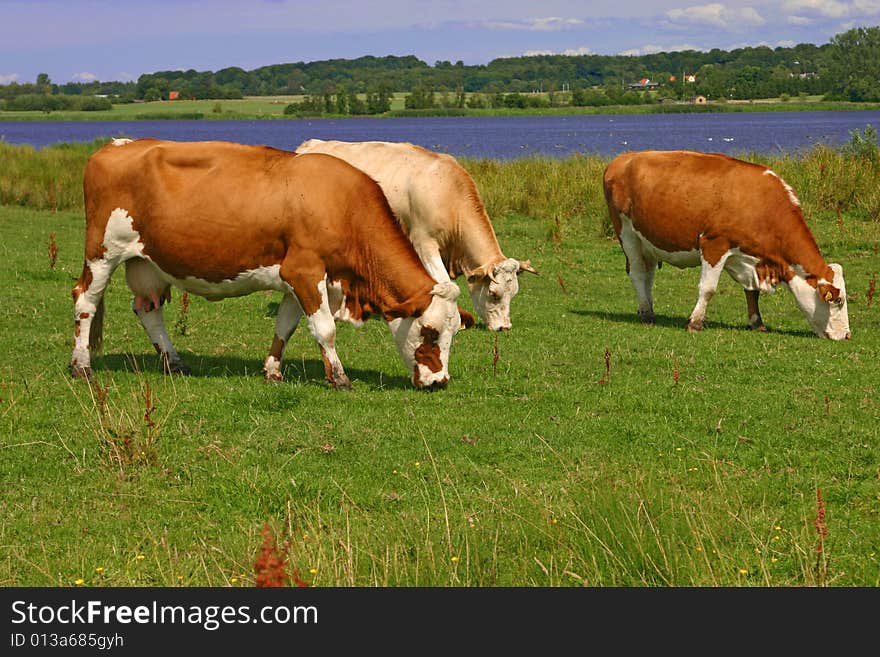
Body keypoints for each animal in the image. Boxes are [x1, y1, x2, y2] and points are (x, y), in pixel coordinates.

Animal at [72, 136, 464, 386]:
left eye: (455, 332)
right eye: (430, 332)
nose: (440, 381)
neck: (342, 204)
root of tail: (115, 145)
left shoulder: (294, 279)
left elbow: (285, 327)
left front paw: (273, 371)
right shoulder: (305, 271)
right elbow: (325, 328)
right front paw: (339, 378)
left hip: (147, 262)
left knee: (148, 309)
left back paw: (175, 362)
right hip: (102, 253)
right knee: (84, 302)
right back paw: (81, 366)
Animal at [294, 140, 536, 330]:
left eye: (513, 293)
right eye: (494, 293)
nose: (504, 327)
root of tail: (308, 146)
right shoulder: (424, 243)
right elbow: (443, 282)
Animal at [600, 151, 848, 340]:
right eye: (838, 300)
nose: (847, 336)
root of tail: (622, 159)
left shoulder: (750, 258)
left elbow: (752, 292)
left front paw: (757, 323)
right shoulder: (714, 245)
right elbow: (708, 289)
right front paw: (695, 323)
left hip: (648, 241)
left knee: (648, 275)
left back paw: (649, 308)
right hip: (627, 233)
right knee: (638, 273)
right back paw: (646, 314)